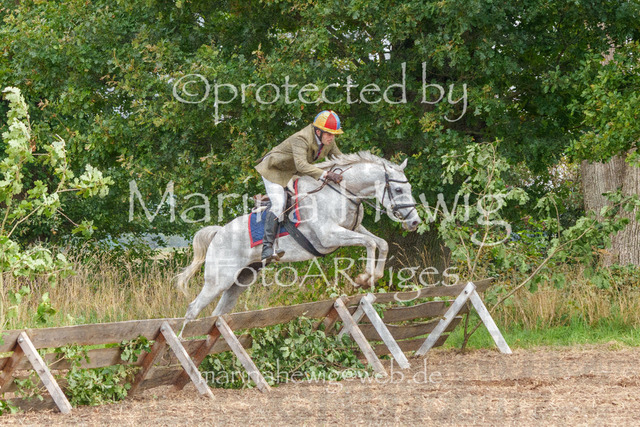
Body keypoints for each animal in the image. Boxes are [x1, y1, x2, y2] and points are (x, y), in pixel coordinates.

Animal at [176, 151, 422, 336]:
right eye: (398, 189)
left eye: (409, 188)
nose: (415, 222)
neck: (342, 192)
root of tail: (218, 233)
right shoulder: (329, 235)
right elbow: (370, 243)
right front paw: (365, 278)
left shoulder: (353, 229)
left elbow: (381, 243)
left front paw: (375, 276)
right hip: (219, 279)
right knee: (192, 309)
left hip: (240, 280)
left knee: (217, 313)